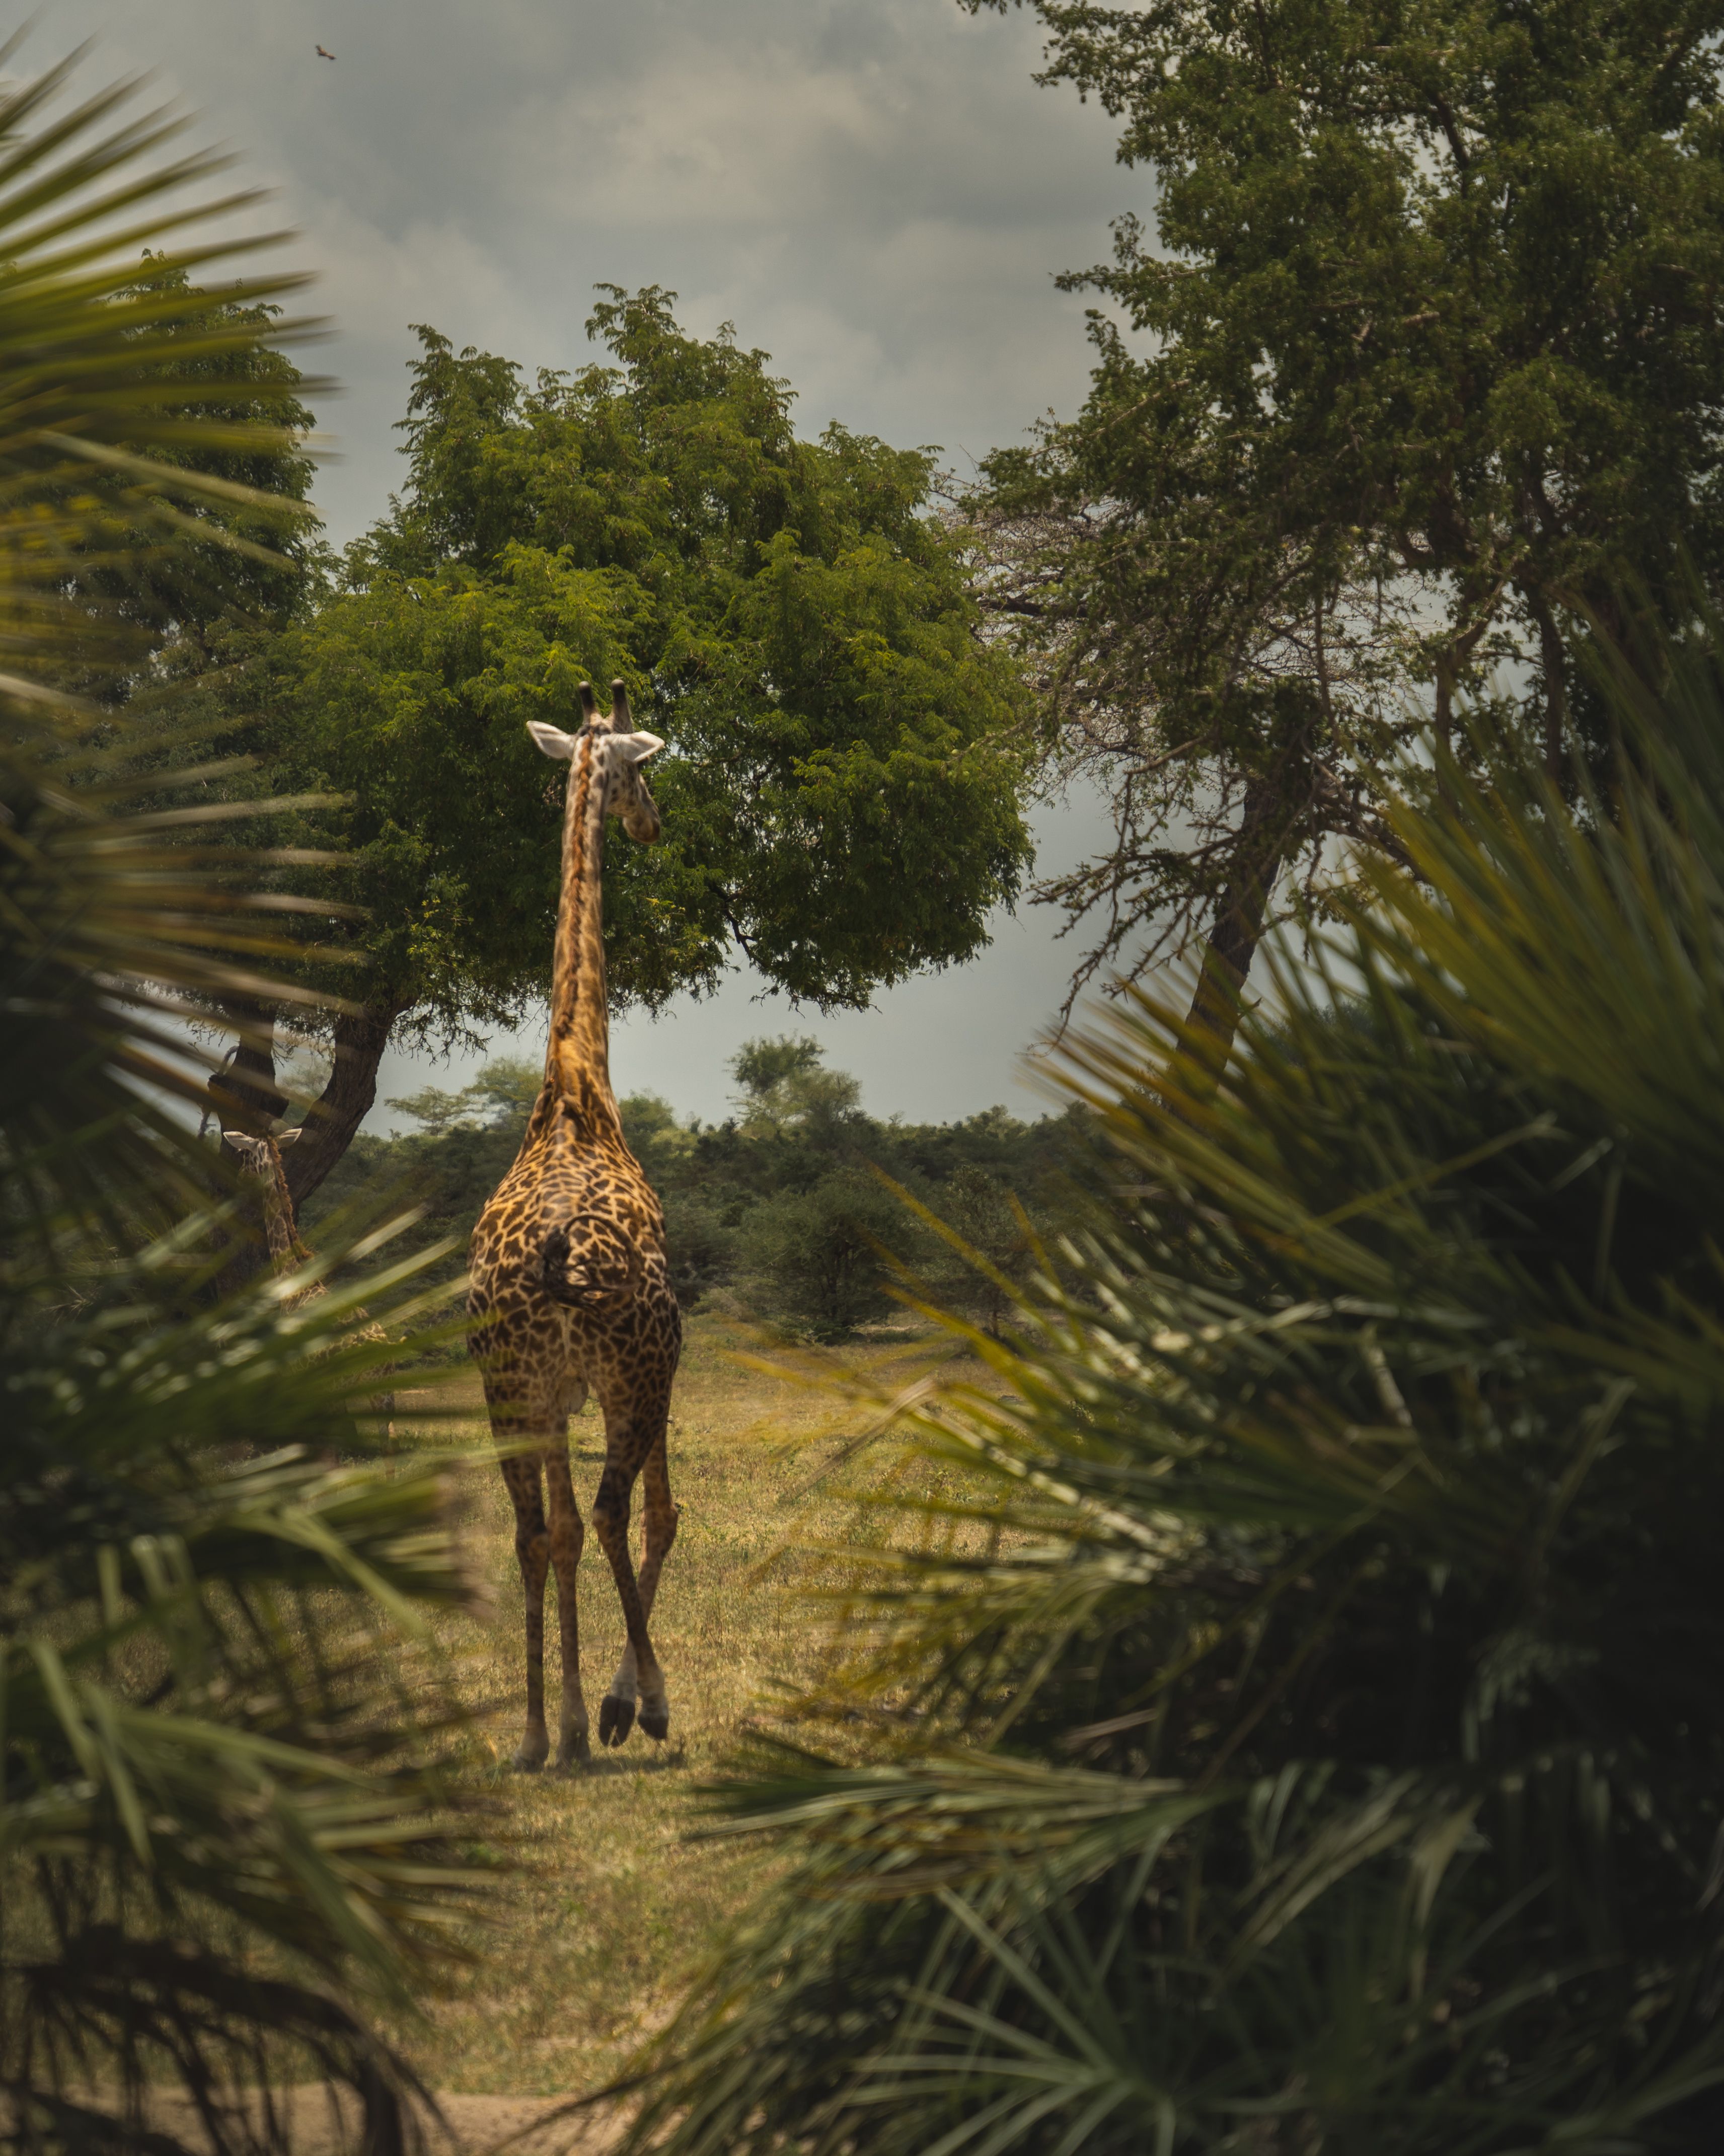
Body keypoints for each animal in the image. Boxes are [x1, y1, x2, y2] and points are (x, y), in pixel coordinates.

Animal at [221, 1126, 396, 1438]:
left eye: (244, 1153)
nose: (241, 1176)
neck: (292, 1277)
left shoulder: (298, 1376)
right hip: (383, 1390)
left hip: (342, 1387)